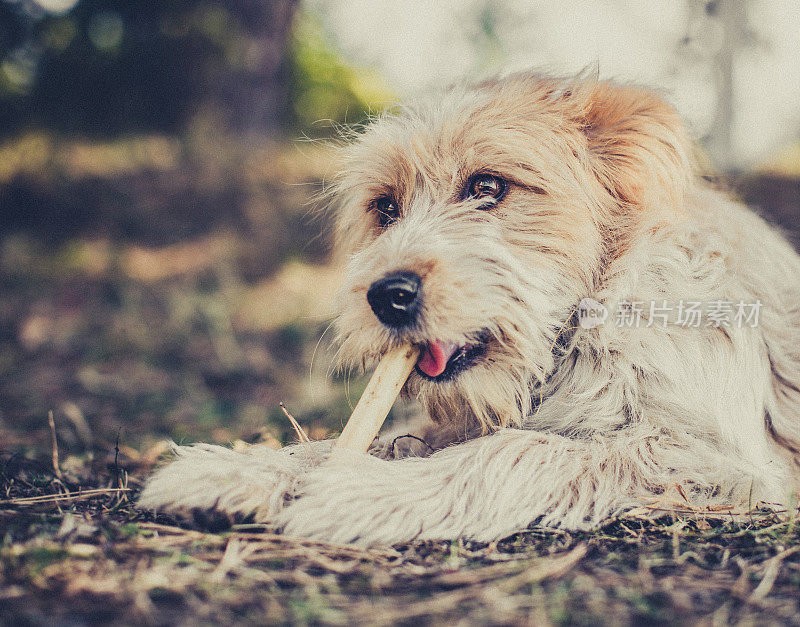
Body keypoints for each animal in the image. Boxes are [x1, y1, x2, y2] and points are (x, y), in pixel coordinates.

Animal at [141, 72, 800, 544]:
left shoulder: (714, 459)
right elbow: (362, 441)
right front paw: (246, 470)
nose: (387, 296)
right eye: (386, 207)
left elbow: (523, 450)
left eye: (488, 188)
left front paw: (365, 493)